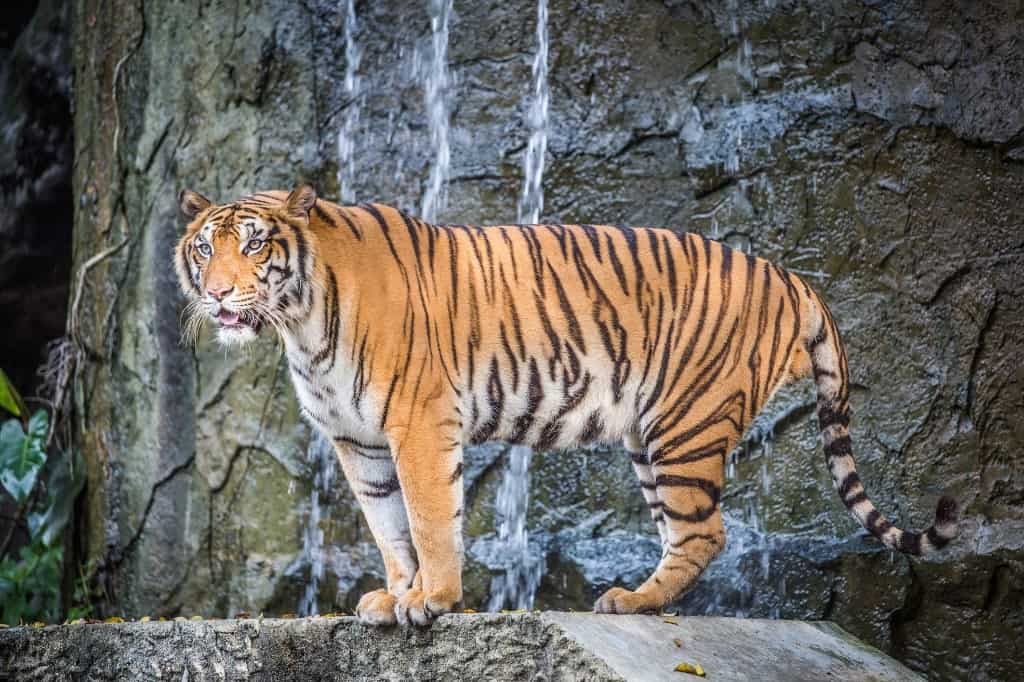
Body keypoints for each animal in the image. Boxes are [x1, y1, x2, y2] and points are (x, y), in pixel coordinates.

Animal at [176, 183, 958, 622]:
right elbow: (387, 526)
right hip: (650, 435)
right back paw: (636, 599)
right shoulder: (357, 440)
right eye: (205, 250)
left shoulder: (418, 423)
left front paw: (433, 600)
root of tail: (791, 276)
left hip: (686, 424)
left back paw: (630, 601)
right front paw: (396, 595)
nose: (217, 293)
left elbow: (429, 520)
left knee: (706, 532)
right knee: (688, 532)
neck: (301, 321)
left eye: (254, 247)